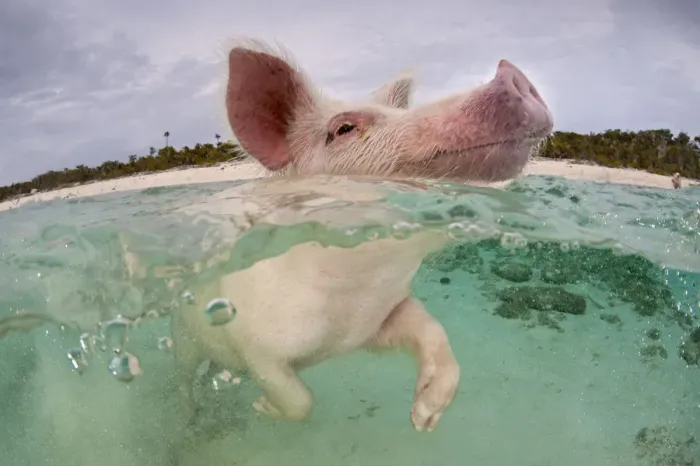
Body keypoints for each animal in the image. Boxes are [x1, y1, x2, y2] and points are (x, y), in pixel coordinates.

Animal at [167, 37, 554, 435]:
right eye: (344, 129)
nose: (509, 72)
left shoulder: (382, 316)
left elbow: (433, 331)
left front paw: (424, 419)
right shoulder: (257, 345)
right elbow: (299, 400)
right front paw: (262, 407)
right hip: (182, 333)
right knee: (183, 377)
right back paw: (190, 418)